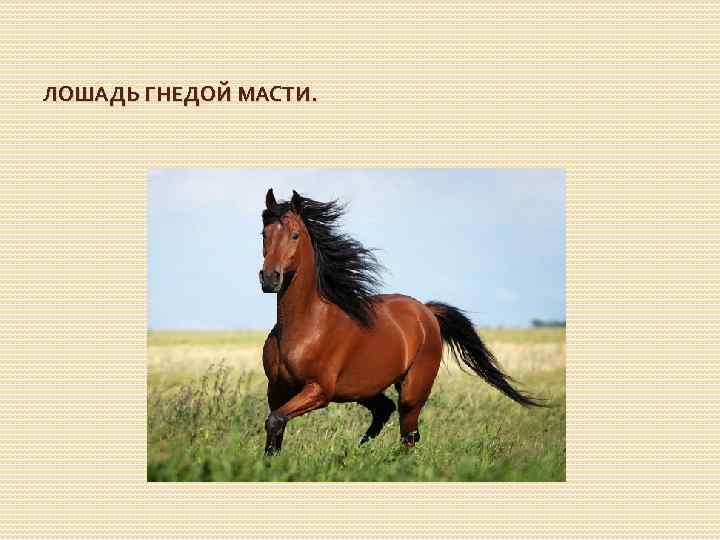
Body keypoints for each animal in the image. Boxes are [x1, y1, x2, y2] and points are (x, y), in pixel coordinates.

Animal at [259, 188, 543, 455]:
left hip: (412, 390)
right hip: (364, 389)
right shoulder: (277, 389)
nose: (270, 278)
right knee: (386, 411)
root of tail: (426, 311)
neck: (305, 325)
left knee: (408, 433)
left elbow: (275, 421)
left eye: (295, 235)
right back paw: (361, 451)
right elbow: (276, 431)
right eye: (264, 233)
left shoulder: (319, 390)